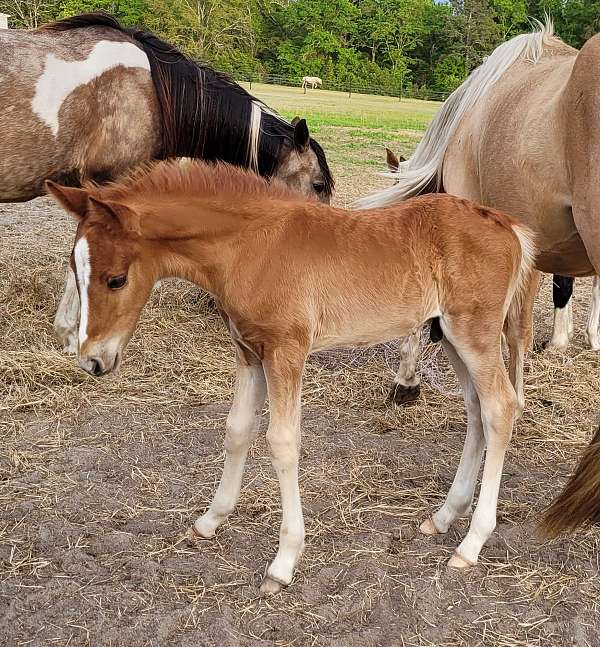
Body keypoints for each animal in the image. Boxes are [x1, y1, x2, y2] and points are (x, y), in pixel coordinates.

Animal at [46, 159, 534, 593]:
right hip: (451, 336)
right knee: (476, 411)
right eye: (74, 269)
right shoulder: (249, 352)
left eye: (116, 279)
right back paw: (444, 516)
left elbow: (282, 443)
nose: (92, 361)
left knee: (501, 407)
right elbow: (237, 430)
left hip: (474, 334)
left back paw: (471, 544)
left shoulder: (286, 353)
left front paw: (283, 563)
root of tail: (509, 227)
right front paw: (210, 520)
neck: (252, 247)